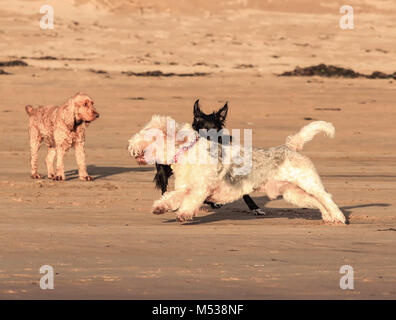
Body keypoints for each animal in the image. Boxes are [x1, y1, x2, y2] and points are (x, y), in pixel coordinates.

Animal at [127, 115, 346, 225]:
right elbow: (171, 197)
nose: (129, 145)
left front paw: (184, 215)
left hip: (309, 183)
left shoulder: (200, 189)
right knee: (317, 202)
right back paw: (329, 217)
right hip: (294, 193)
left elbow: (189, 202)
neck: (187, 152)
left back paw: (340, 217)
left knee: (327, 198)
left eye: (148, 134)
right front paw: (160, 207)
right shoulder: (185, 188)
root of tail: (290, 147)